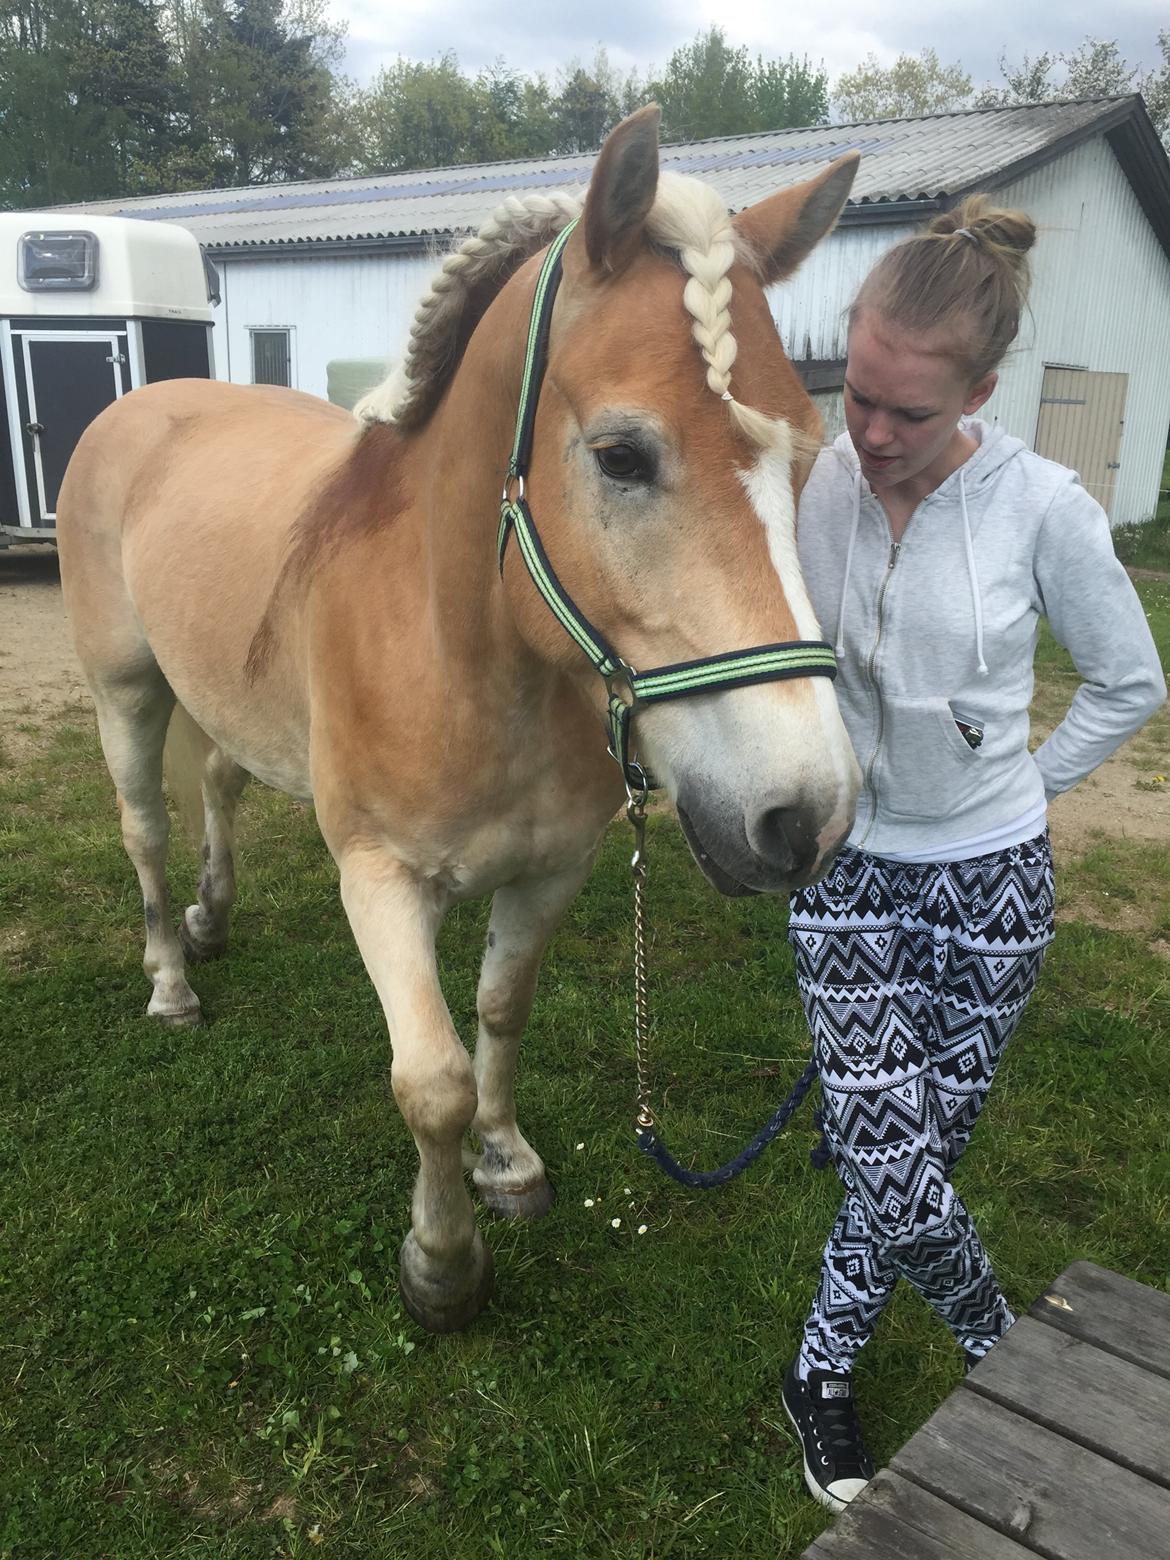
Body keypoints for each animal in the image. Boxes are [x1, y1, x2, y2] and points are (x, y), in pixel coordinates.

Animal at [57, 106, 861, 1329]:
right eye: (622, 454)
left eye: (807, 455)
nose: (802, 816)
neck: (468, 657)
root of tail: (142, 408)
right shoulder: (380, 879)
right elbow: (428, 1080)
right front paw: (443, 1263)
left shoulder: (552, 872)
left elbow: (503, 1009)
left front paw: (506, 1159)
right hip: (127, 691)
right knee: (144, 830)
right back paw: (171, 982)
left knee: (221, 789)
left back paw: (209, 918)